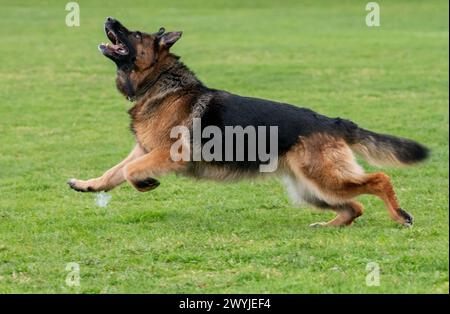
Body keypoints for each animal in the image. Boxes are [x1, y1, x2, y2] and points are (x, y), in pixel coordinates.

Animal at [67, 17, 428, 228]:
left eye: (135, 33)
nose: (109, 18)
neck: (160, 83)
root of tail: (332, 122)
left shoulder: (167, 155)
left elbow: (129, 171)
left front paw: (146, 183)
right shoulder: (142, 149)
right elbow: (113, 172)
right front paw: (88, 185)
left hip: (324, 180)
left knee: (379, 180)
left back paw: (399, 216)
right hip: (310, 190)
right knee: (355, 207)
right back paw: (330, 227)